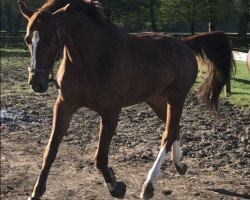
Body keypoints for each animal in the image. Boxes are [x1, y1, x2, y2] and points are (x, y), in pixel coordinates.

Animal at [19, 0, 234, 199]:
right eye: (27, 39)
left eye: (48, 40)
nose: (36, 83)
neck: (92, 58)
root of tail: (184, 44)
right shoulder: (64, 105)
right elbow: (50, 150)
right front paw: (36, 192)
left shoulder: (110, 112)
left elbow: (100, 157)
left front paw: (116, 186)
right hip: (156, 99)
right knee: (174, 128)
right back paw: (179, 164)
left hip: (177, 97)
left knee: (168, 133)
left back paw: (149, 184)